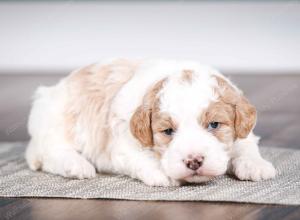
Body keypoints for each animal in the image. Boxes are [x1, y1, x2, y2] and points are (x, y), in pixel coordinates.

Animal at [25, 58, 276, 186]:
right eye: (168, 131)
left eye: (214, 125)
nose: (194, 161)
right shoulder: (121, 146)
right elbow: (141, 158)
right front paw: (163, 173)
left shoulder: (244, 132)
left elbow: (245, 146)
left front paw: (256, 165)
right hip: (56, 122)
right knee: (50, 154)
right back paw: (76, 165)